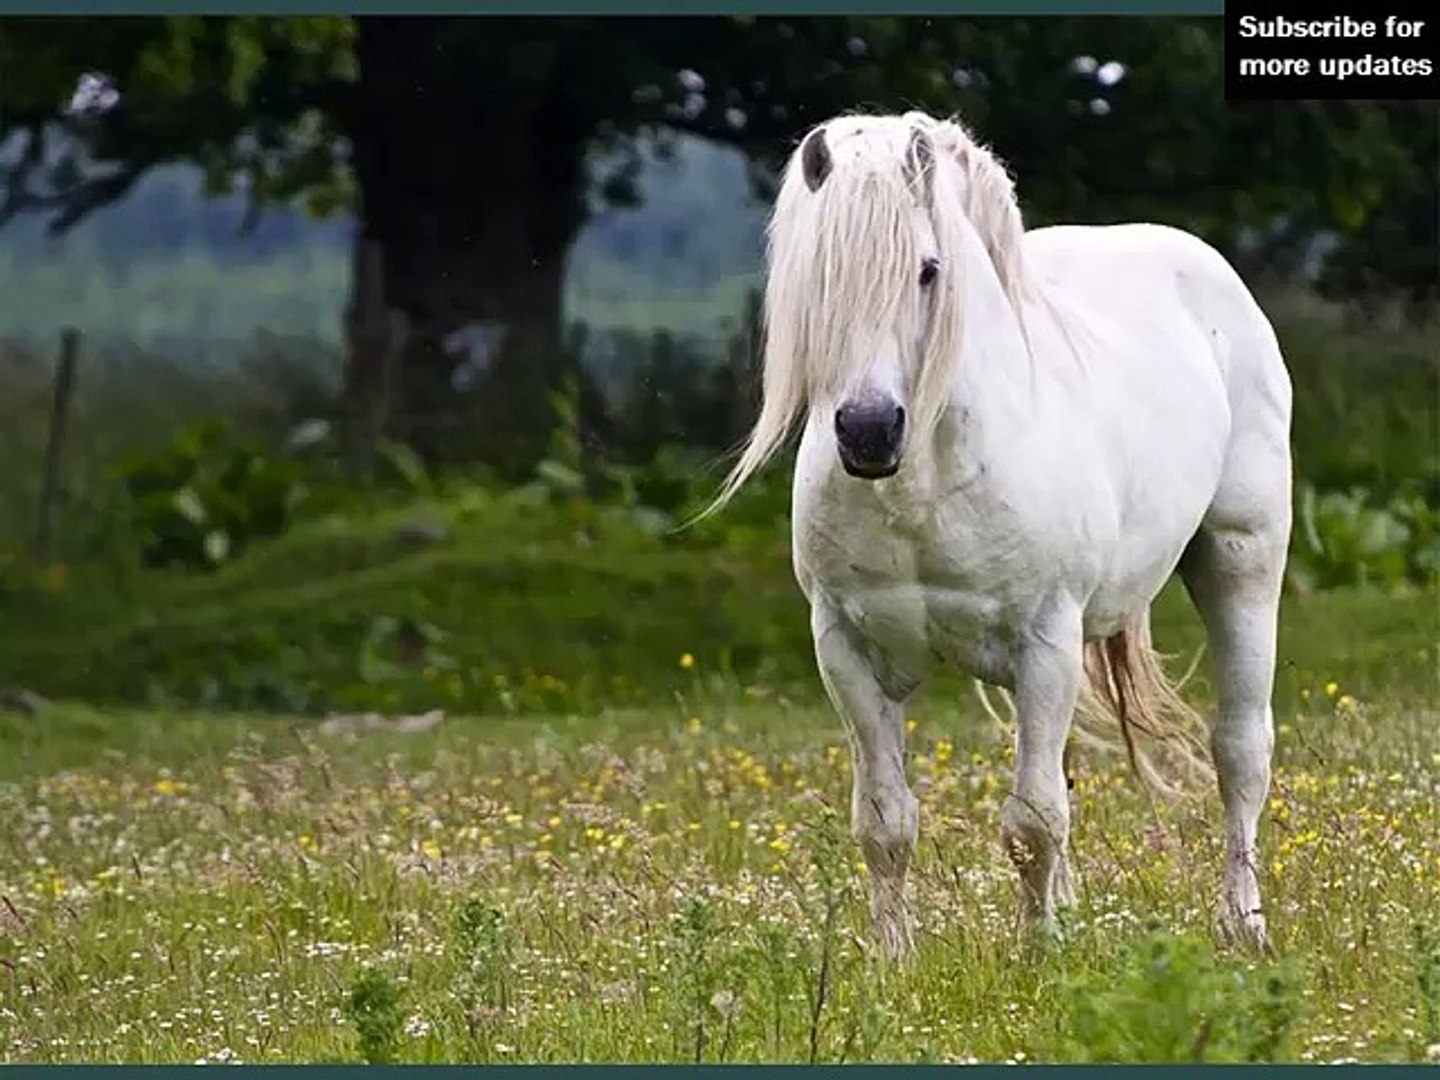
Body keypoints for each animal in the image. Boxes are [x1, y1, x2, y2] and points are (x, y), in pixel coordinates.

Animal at [705, 108, 1296, 956]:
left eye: (928, 270)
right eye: (819, 278)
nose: (868, 430)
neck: (926, 480)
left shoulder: (1045, 643)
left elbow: (1034, 821)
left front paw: (1041, 954)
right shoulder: (846, 650)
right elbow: (886, 823)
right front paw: (894, 961)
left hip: (1241, 559)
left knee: (1240, 753)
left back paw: (1243, 927)